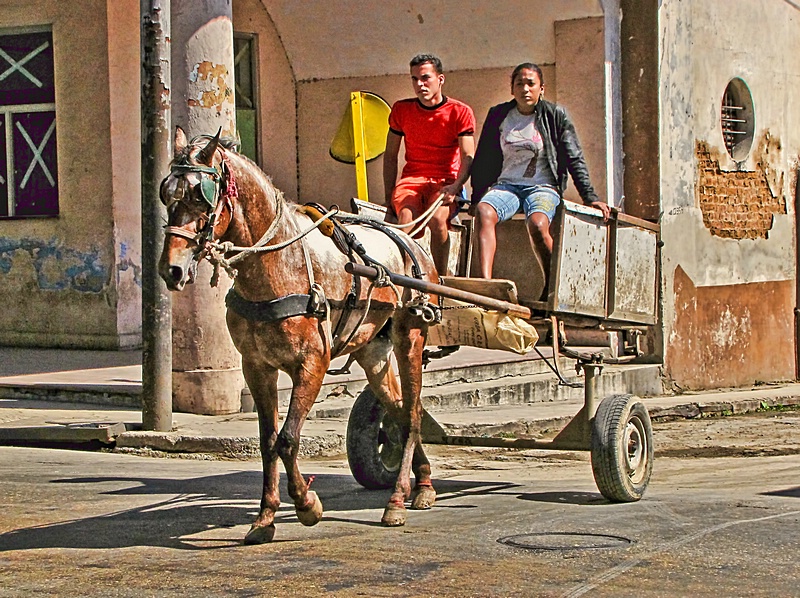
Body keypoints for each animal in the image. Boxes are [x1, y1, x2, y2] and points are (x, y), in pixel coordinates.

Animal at [159, 129, 440, 548]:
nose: (171, 269)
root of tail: (410, 238)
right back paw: (422, 484)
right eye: (166, 194)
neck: (275, 264)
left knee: (413, 413)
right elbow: (267, 441)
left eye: (199, 196)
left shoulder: (311, 365)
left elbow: (288, 439)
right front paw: (265, 517)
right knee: (401, 411)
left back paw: (397, 499)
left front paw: (307, 505)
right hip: (373, 350)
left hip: (411, 337)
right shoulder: (256, 367)